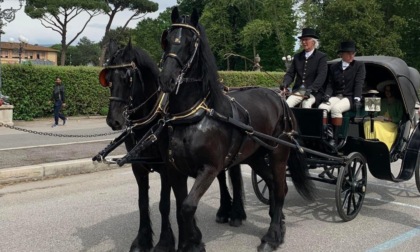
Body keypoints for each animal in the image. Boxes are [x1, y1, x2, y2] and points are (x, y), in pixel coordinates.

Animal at [98, 39, 246, 252]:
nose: (114, 120)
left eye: (128, 78)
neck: (151, 120)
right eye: (108, 79)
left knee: (233, 174)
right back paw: (224, 210)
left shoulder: (167, 168)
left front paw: (166, 241)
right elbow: (143, 203)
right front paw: (142, 241)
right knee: (219, 175)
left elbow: (165, 204)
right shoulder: (139, 167)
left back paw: (236, 213)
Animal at [159, 7, 316, 252]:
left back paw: (272, 235)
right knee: (272, 183)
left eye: (191, 42)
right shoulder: (175, 169)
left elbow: (187, 207)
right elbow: (180, 208)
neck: (193, 117)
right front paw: (189, 242)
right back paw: (278, 223)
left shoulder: (210, 168)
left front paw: (195, 242)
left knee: (280, 188)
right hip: (255, 156)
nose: (167, 79)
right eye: (167, 39)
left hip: (278, 153)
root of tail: (279, 98)